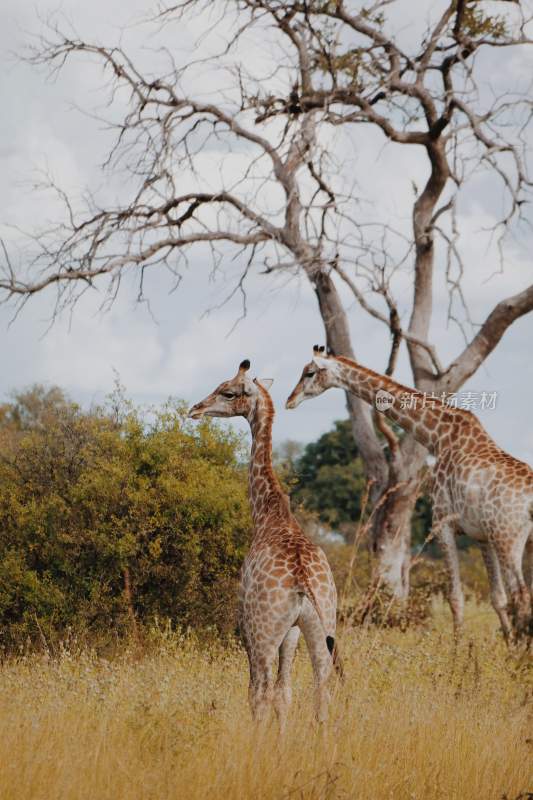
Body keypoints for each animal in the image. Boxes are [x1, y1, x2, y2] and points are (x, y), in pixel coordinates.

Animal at [189, 360, 342, 728]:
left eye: (228, 392)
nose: (195, 409)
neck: (269, 513)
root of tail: (303, 578)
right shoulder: (293, 631)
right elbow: (284, 695)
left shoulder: (248, 625)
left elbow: (261, 693)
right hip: (322, 630)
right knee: (321, 695)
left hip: (262, 632)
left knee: (258, 691)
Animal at [286, 346, 532, 640]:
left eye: (309, 372)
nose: (289, 400)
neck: (438, 438)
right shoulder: (481, 535)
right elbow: (497, 598)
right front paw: (504, 642)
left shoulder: (442, 522)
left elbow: (456, 597)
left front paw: (460, 649)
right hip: (513, 539)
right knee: (518, 596)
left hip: (508, 538)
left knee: (522, 595)